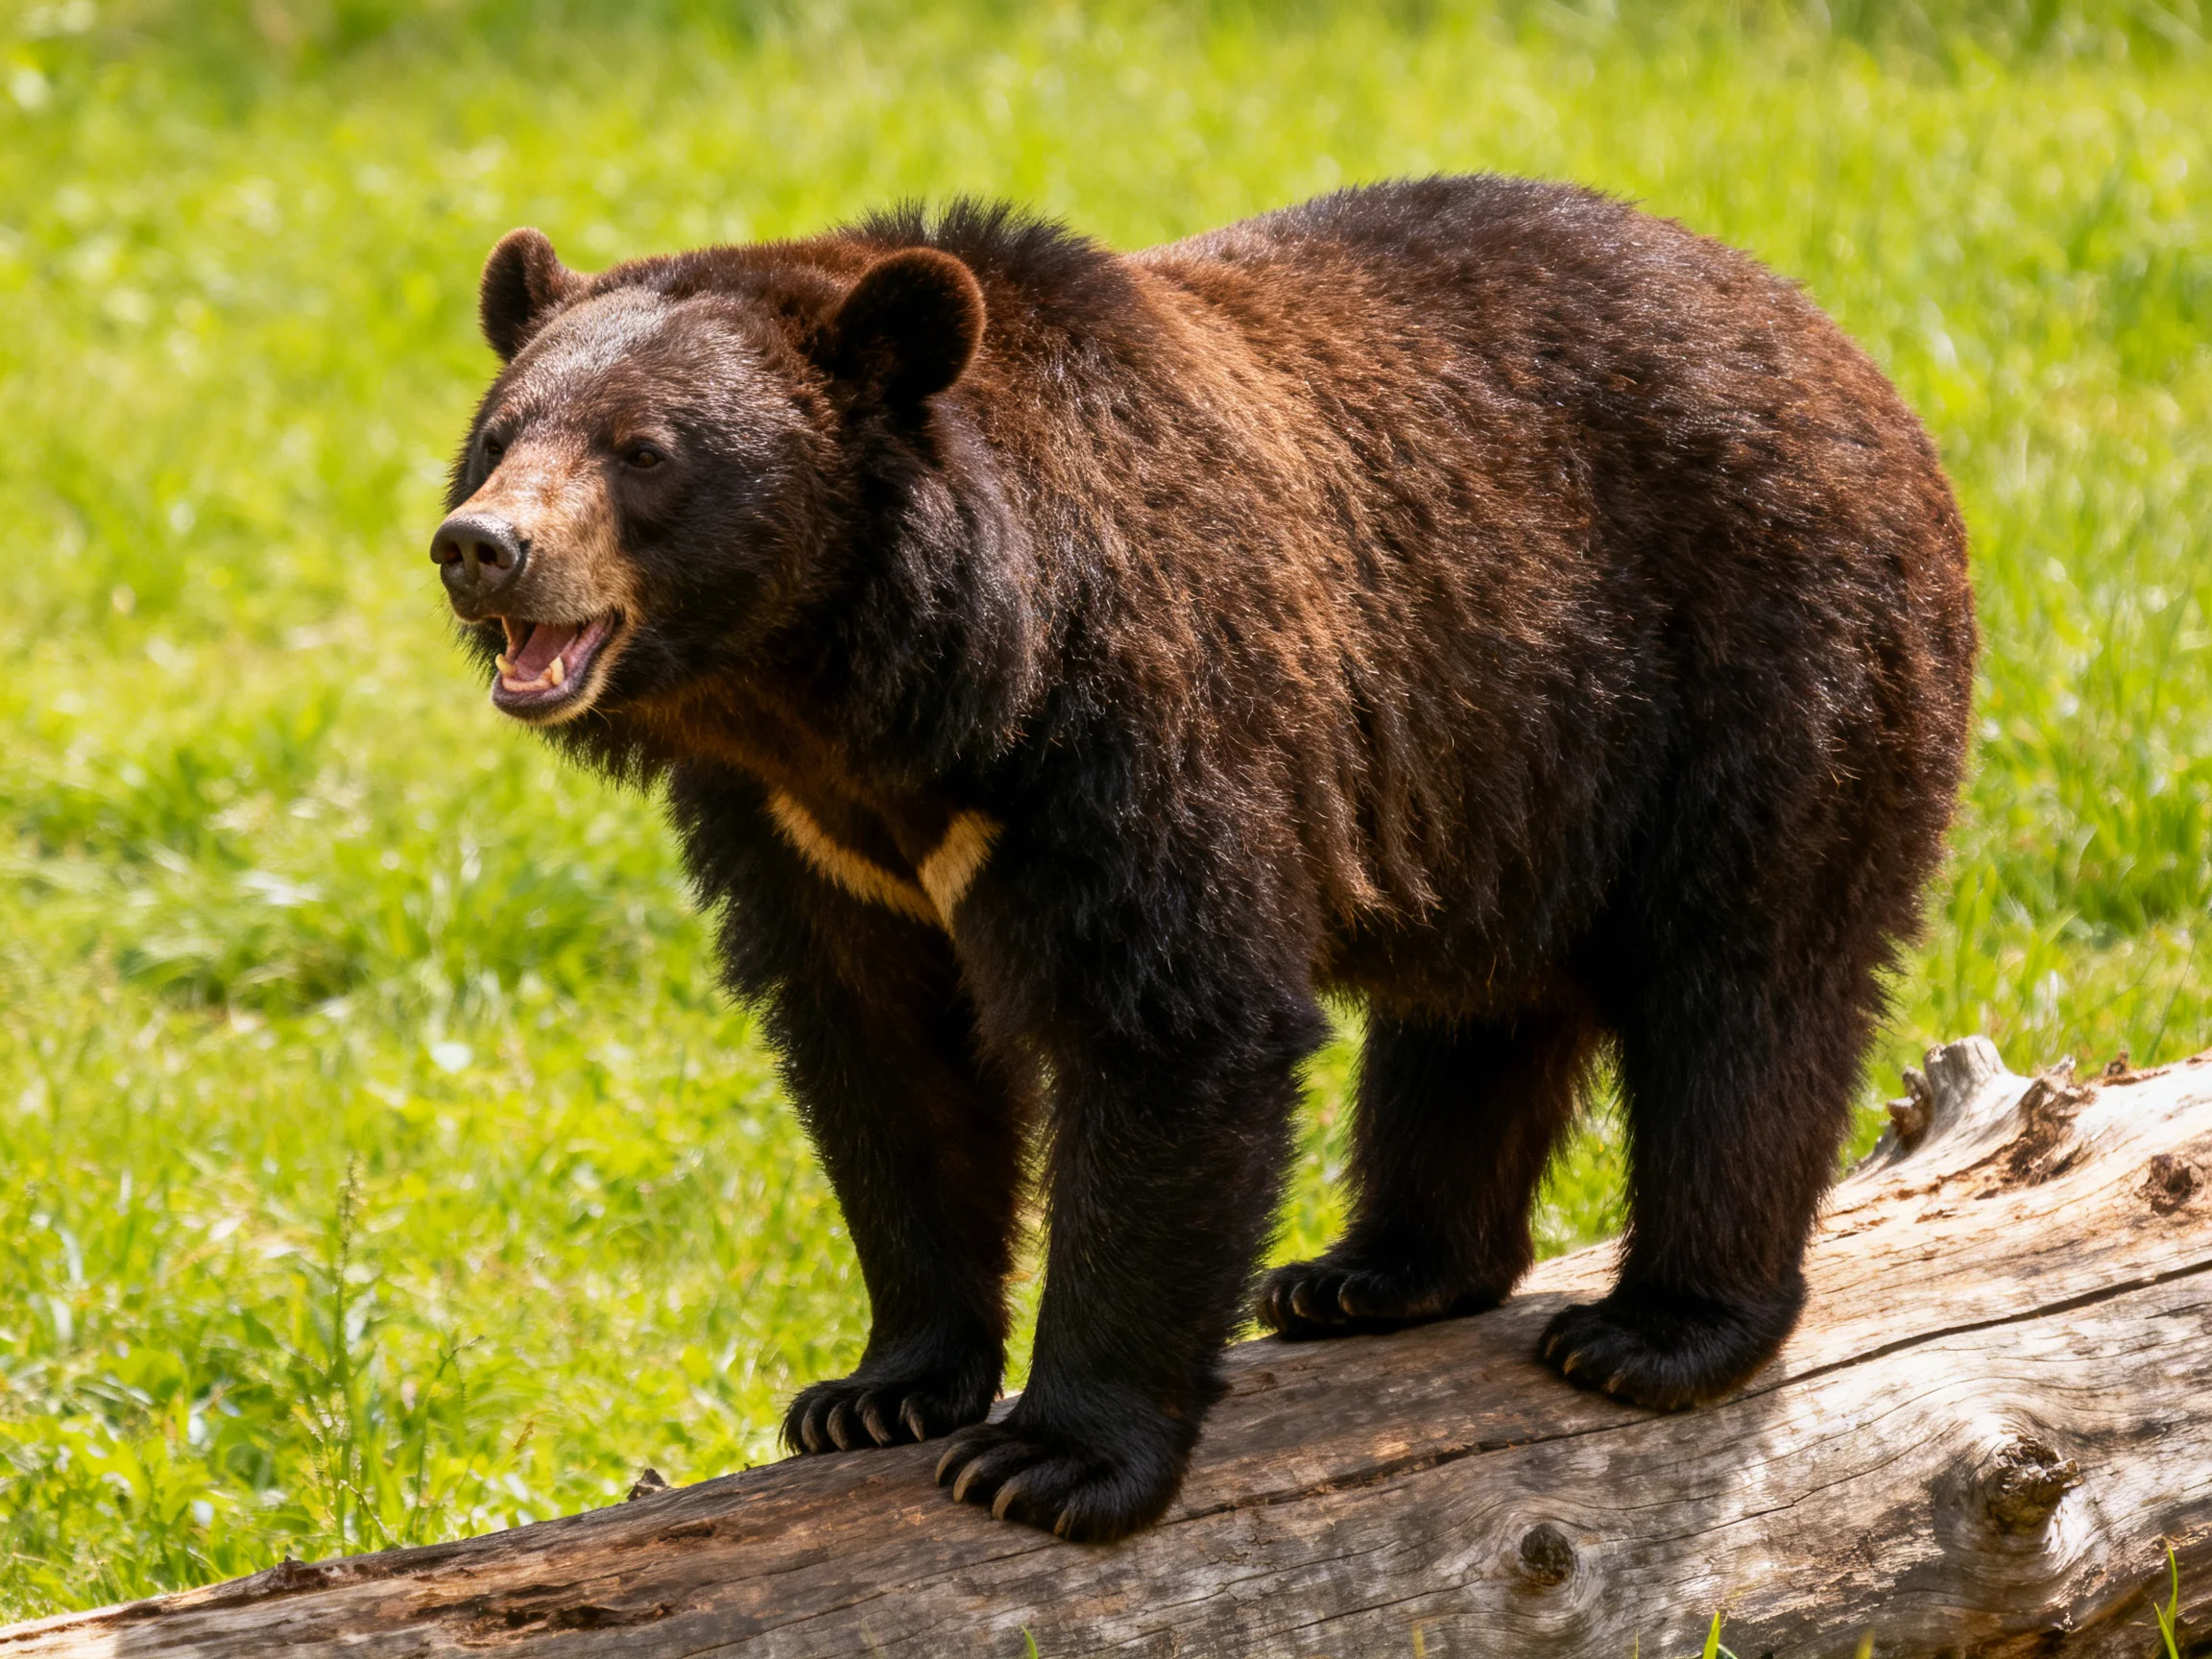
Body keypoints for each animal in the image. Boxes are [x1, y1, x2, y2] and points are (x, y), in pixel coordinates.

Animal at [430, 176, 1975, 1542]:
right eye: (500, 433)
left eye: (644, 449)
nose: (481, 546)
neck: (863, 698)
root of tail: (1843, 351)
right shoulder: (802, 838)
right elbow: (881, 1058)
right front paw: (875, 1392)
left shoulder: (1132, 721)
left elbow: (1168, 1029)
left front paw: (1051, 1462)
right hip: (1512, 763)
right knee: (1479, 1009)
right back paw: (1376, 1274)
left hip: (1767, 671)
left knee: (1745, 993)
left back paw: (1656, 1331)